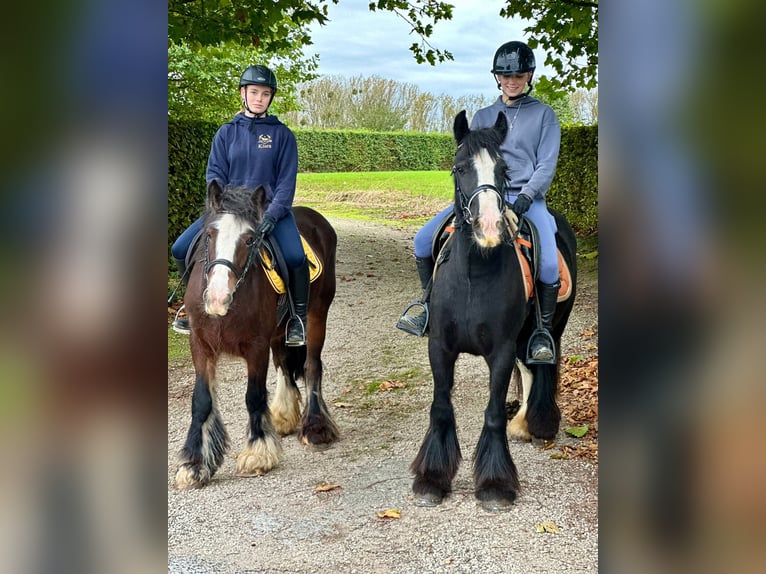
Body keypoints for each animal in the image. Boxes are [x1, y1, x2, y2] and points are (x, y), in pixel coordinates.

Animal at [414, 112, 576, 512]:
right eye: (459, 167)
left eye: (504, 169)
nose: (489, 228)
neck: (474, 274)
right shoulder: (440, 346)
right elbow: (441, 406)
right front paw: (432, 478)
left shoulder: (500, 351)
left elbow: (491, 412)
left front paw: (495, 484)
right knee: (527, 370)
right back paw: (521, 420)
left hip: (547, 330)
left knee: (539, 366)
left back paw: (535, 422)